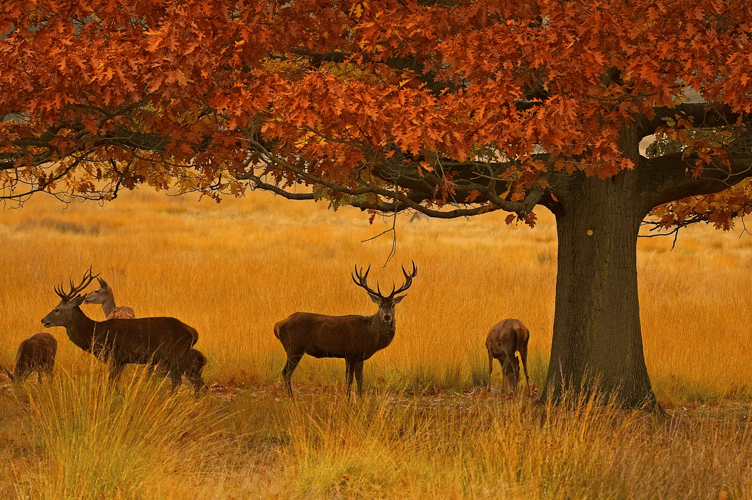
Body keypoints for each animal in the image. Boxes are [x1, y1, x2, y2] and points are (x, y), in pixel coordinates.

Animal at [40, 270, 206, 394]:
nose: (43, 320)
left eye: (57, 309)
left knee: (185, 382)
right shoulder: (121, 361)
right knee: (193, 382)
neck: (94, 332)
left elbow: (110, 384)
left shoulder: (115, 356)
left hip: (176, 355)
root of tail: (193, 332)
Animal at [274, 262, 418, 398]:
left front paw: (360, 399)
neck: (369, 334)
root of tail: (278, 325)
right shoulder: (350, 353)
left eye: (393, 304)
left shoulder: (360, 356)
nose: (387, 317)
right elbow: (349, 380)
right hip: (294, 347)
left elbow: (360, 380)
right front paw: (349, 400)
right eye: (380, 305)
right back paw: (291, 399)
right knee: (286, 372)